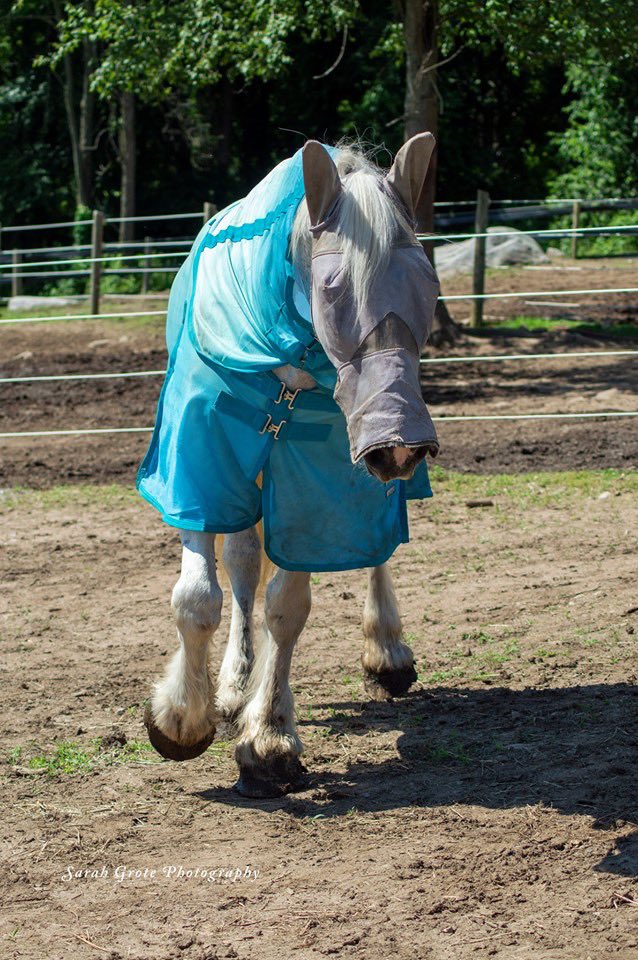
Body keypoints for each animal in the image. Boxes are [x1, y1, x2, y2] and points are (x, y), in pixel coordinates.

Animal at [138, 135, 441, 797]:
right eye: (332, 289)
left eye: (429, 284)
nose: (400, 444)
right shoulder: (199, 466)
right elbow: (198, 597)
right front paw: (184, 718)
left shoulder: (317, 484)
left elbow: (288, 608)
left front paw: (269, 740)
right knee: (242, 560)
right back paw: (231, 685)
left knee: (376, 549)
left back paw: (387, 652)